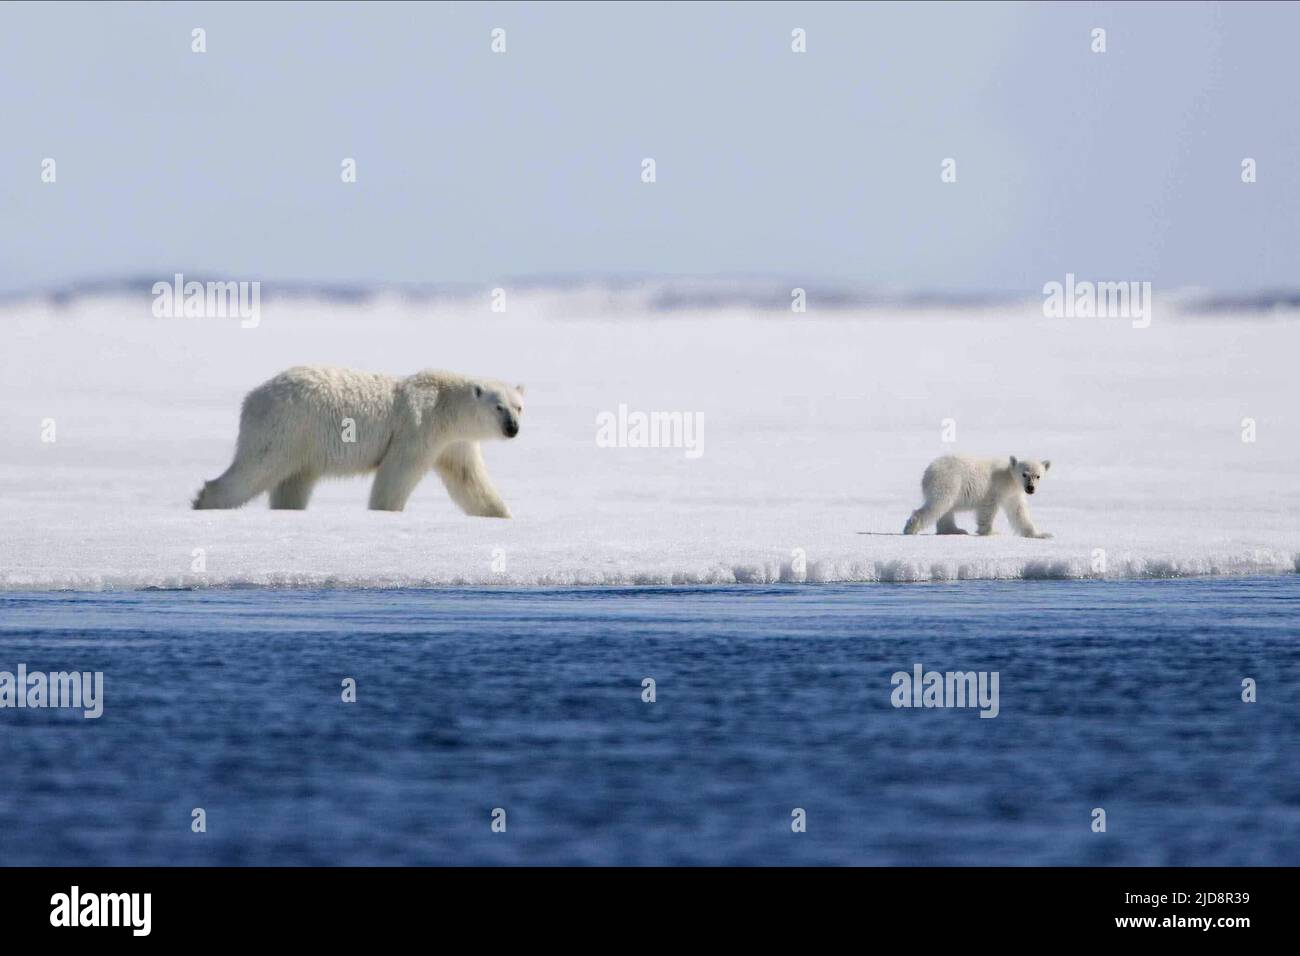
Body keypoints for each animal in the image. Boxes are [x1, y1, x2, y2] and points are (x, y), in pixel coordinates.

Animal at [191, 369, 522, 515]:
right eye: (498, 407)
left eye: (518, 406)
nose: (513, 428)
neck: (446, 403)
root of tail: (252, 397)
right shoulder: (418, 427)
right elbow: (397, 474)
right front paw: (386, 511)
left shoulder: (455, 442)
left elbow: (469, 480)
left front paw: (501, 514)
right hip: (286, 426)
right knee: (256, 468)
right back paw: (206, 501)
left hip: (301, 442)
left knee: (293, 482)